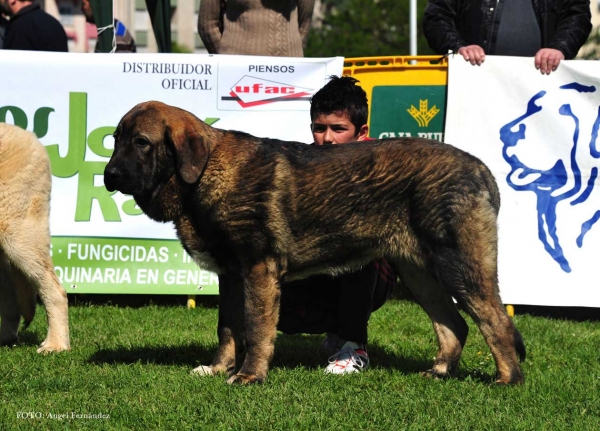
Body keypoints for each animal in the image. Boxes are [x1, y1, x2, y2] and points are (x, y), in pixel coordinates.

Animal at [105, 101, 528, 384]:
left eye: (141, 142)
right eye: (115, 140)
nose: (109, 174)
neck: (204, 173)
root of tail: (480, 169)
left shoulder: (258, 270)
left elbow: (255, 329)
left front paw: (249, 376)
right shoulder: (231, 276)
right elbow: (227, 328)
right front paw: (218, 367)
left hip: (458, 267)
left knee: (495, 321)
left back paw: (507, 380)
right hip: (420, 275)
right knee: (454, 325)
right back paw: (439, 371)